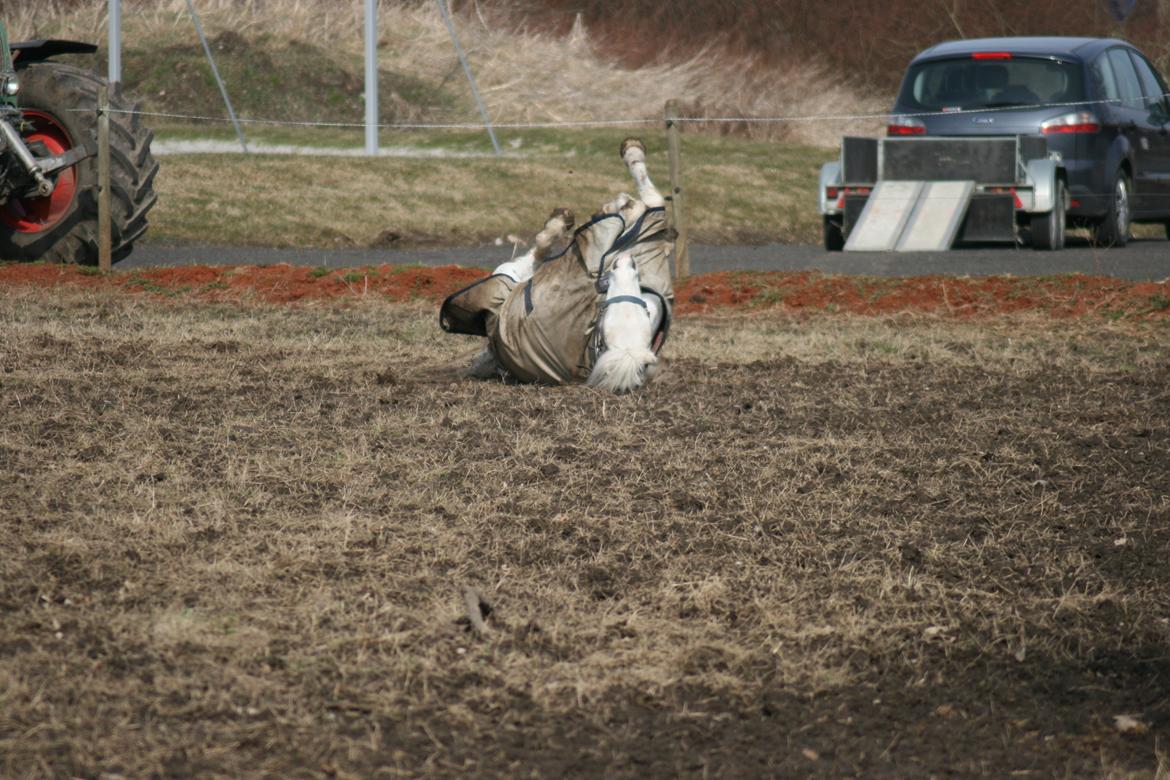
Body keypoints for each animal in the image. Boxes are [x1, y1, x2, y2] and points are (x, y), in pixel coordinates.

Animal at [439, 137, 678, 392]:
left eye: (606, 327)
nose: (624, 260)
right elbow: (646, 200)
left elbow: (649, 198)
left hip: (512, 280)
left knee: (534, 254)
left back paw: (562, 220)